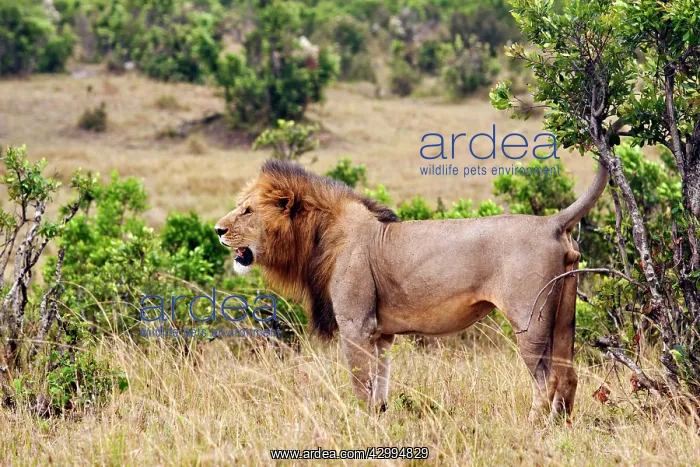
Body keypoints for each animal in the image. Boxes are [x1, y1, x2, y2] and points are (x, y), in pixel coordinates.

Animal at [215, 159, 609, 420]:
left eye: (247, 211)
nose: (218, 230)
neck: (320, 236)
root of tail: (550, 222)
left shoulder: (356, 325)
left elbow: (360, 383)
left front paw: (359, 426)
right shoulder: (380, 333)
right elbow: (380, 384)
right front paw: (380, 420)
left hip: (530, 321)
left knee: (546, 378)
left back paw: (533, 427)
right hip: (564, 317)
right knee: (568, 374)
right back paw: (561, 426)